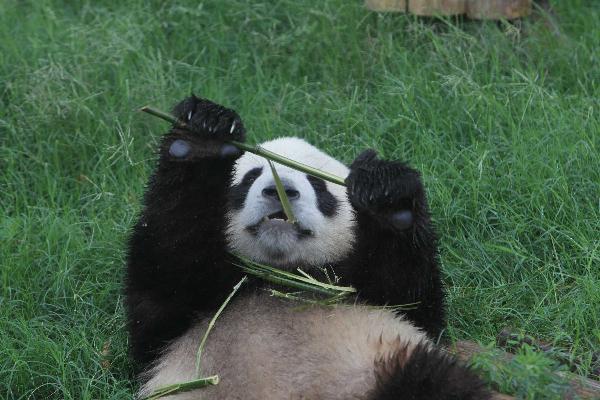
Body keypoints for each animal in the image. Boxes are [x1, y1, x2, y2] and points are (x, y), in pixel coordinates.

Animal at [124, 97, 490, 400]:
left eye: (318, 185)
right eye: (250, 177)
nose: (280, 190)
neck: (282, 275)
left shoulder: (375, 295)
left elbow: (411, 295)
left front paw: (388, 197)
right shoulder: (181, 320)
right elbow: (169, 255)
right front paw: (201, 137)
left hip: (386, 365)